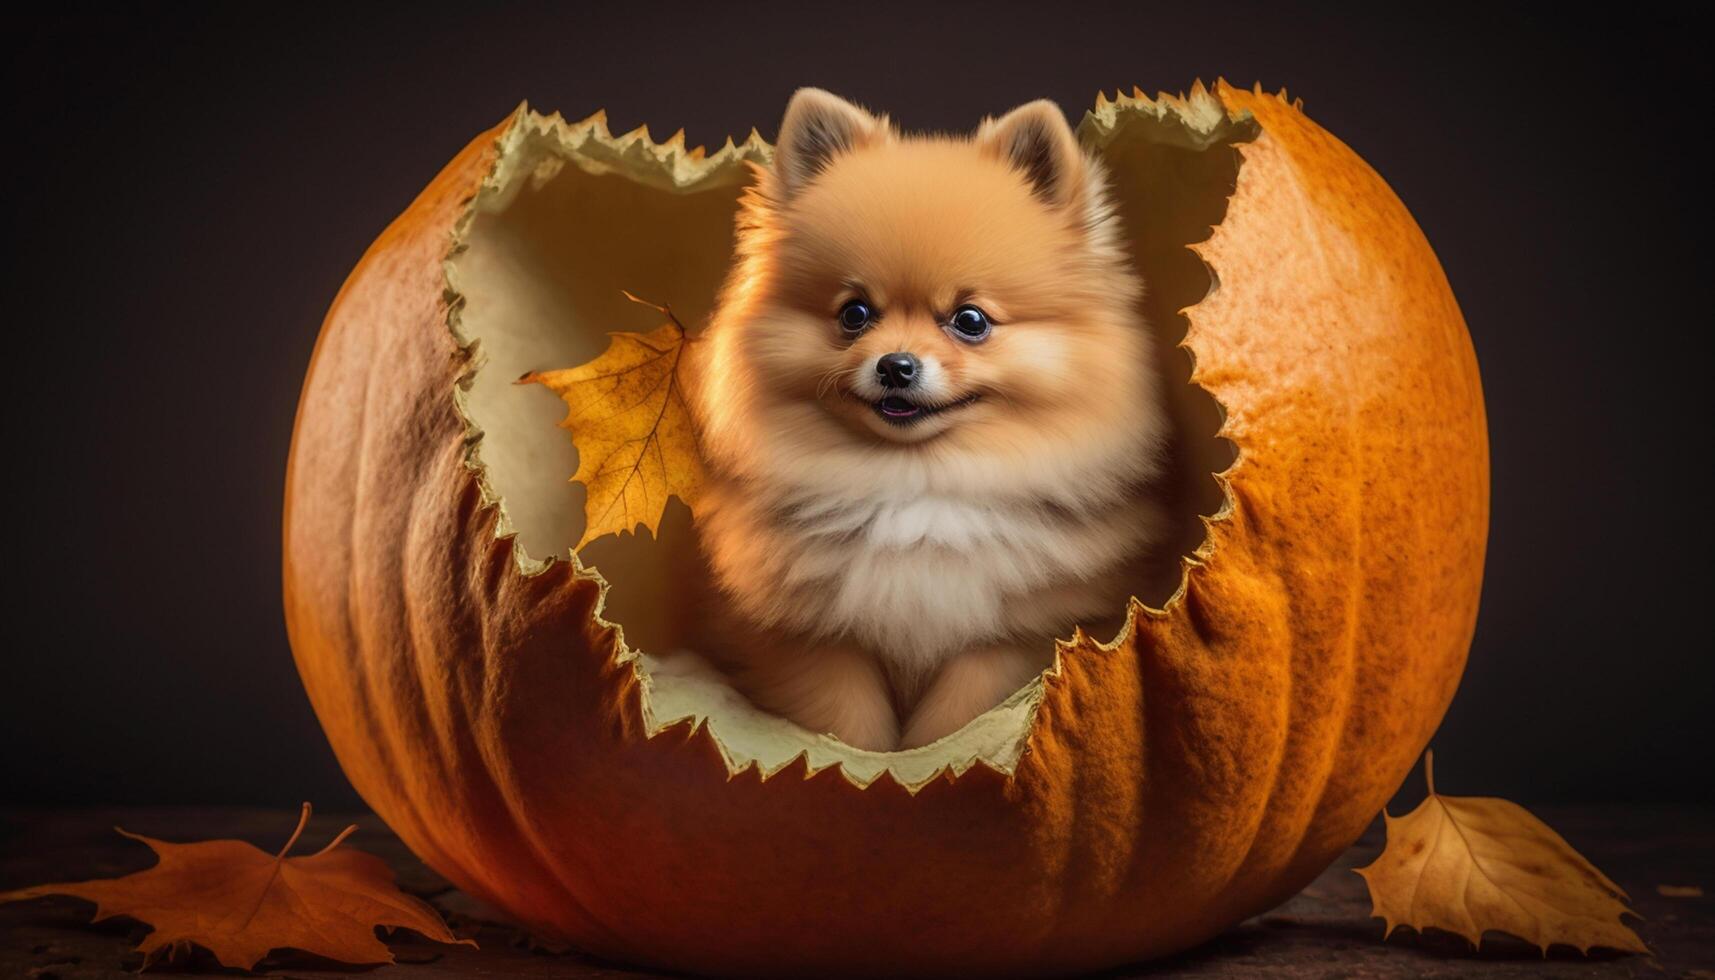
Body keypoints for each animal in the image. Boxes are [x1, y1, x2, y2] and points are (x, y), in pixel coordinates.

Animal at [682, 90, 1166, 751]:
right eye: (854, 314)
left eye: (970, 320)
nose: (896, 365)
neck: (918, 485)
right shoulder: (814, 640)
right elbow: (848, 728)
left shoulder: (1013, 636)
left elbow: (957, 723)